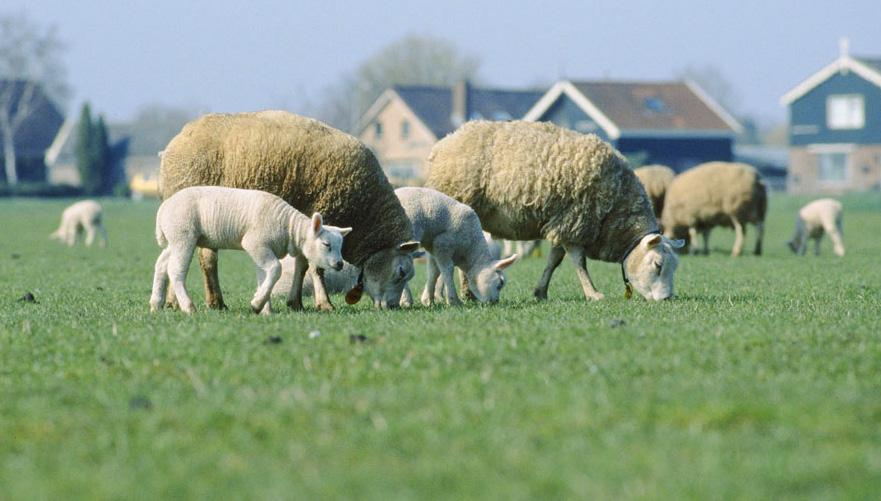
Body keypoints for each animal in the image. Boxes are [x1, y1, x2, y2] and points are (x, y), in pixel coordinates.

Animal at [150, 186, 348, 314]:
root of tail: (163, 209)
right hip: (183, 236)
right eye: (326, 244)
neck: (289, 227)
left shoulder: (264, 248)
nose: (340, 264)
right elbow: (276, 269)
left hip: (174, 239)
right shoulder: (255, 243)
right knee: (175, 270)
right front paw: (257, 304)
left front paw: (264, 309)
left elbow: (264, 275)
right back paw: (188, 307)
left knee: (161, 264)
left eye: (340, 246)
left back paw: (155, 304)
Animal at [422, 121, 684, 300]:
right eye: (658, 265)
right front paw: (593, 293)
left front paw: (541, 291)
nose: (666, 299)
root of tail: (442, 144)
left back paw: (462, 294)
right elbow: (579, 262)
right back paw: (441, 296)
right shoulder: (575, 220)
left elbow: (554, 261)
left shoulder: (562, 224)